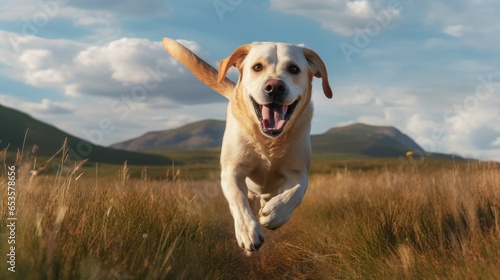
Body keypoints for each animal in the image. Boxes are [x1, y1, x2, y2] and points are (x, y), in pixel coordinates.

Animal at [161, 38, 332, 255]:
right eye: (257, 67)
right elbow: (237, 199)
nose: (274, 87)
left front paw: (276, 214)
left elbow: (297, 192)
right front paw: (248, 232)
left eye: (294, 69)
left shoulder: (298, 171)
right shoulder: (231, 170)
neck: (268, 142)